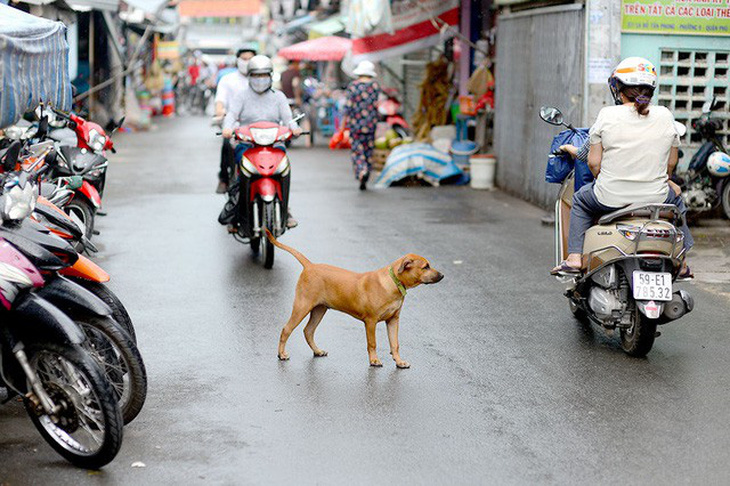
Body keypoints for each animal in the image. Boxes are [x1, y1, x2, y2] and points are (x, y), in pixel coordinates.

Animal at [264, 232, 440, 368]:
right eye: (425, 267)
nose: (442, 275)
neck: (393, 282)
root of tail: (309, 265)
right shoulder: (371, 321)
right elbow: (372, 343)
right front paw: (374, 360)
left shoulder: (393, 320)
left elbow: (395, 343)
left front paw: (399, 361)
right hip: (302, 306)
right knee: (286, 329)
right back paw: (281, 354)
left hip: (319, 309)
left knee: (308, 331)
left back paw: (317, 351)